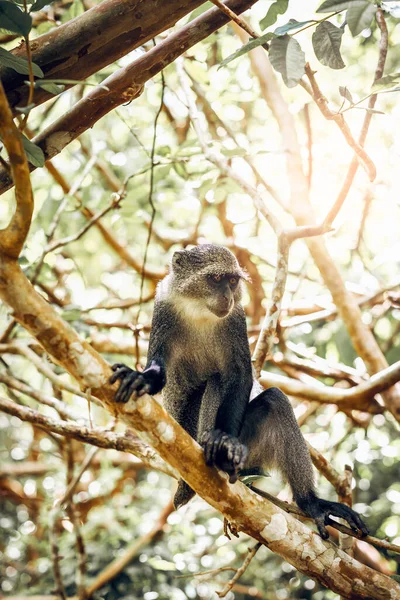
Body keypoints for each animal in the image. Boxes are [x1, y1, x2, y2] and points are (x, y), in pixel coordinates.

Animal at [110, 244, 368, 540]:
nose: (227, 296)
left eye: (232, 281)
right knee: (215, 381)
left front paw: (226, 442)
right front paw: (140, 378)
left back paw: (309, 502)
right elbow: (160, 369)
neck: (199, 310)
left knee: (274, 400)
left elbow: (240, 376)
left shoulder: (236, 317)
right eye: (215, 279)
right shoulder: (163, 308)